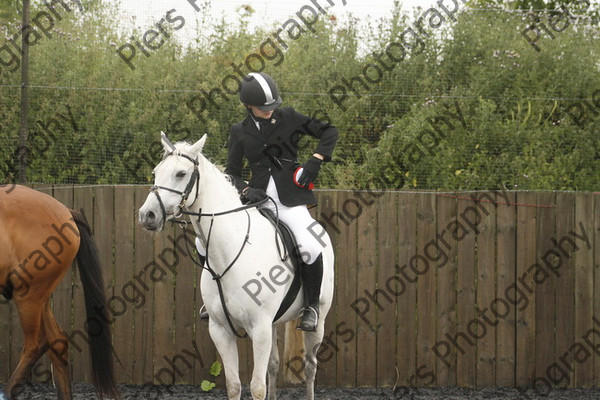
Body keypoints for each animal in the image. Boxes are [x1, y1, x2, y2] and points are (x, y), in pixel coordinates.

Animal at [0, 187, 120, 400]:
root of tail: (67, 213)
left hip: (28, 295)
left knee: (35, 344)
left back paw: (5, 393)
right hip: (41, 298)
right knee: (57, 342)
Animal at [139, 134, 338, 400]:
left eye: (181, 174)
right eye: (156, 172)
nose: (147, 215)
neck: (229, 253)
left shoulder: (260, 329)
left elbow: (257, 388)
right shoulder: (221, 330)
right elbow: (234, 385)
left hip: (318, 320)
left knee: (309, 367)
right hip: (273, 323)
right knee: (274, 365)